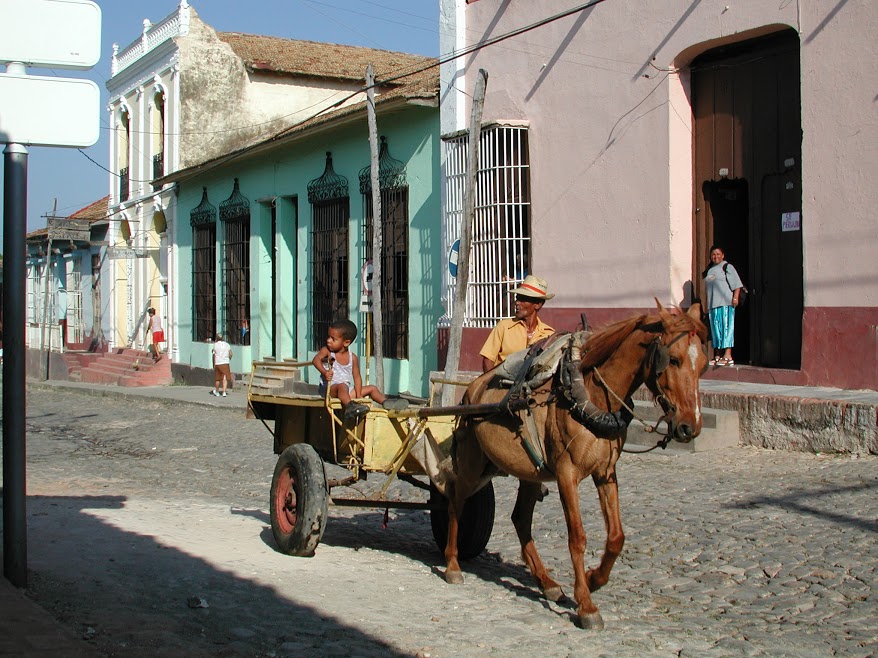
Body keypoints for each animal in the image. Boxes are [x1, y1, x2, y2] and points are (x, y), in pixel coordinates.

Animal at [444, 300, 712, 628]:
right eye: (672, 360)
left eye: (703, 365)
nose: (690, 427)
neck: (589, 394)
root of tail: (473, 389)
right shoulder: (566, 474)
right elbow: (577, 537)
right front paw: (586, 605)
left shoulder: (605, 473)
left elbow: (616, 537)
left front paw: (593, 579)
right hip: (473, 464)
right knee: (456, 500)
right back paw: (452, 564)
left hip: (530, 472)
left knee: (520, 518)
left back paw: (547, 583)